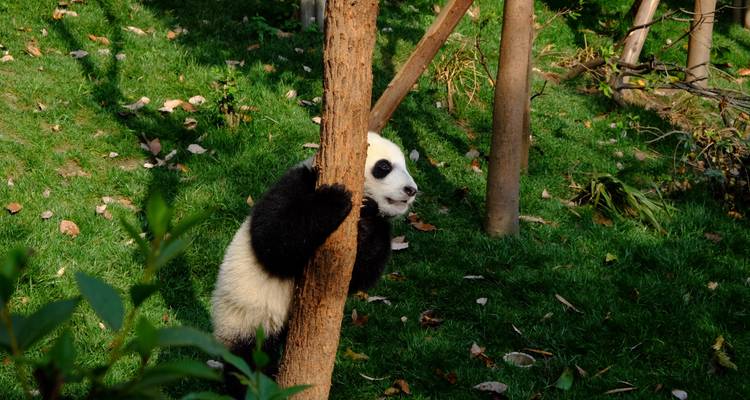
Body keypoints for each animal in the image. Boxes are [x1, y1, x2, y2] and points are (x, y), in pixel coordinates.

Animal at [210, 132, 417, 386]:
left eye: (405, 166)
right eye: (384, 167)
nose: (411, 190)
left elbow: (359, 275)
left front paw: (368, 220)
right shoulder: (297, 183)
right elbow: (273, 239)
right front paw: (335, 199)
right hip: (245, 316)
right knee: (248, 362)